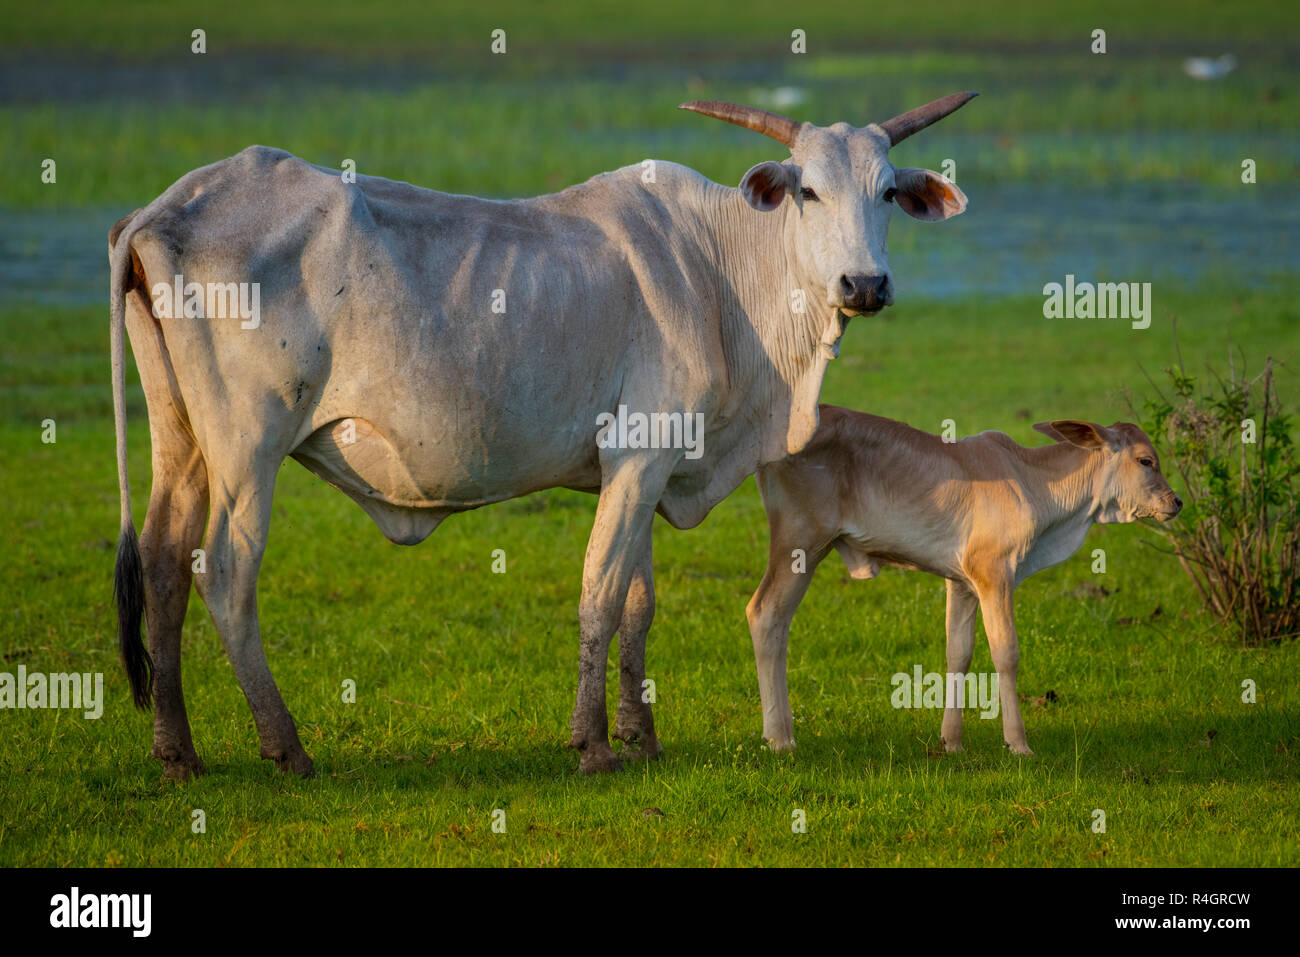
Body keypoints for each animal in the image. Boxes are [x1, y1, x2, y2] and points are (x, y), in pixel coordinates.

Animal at [109, 93, 977, 778]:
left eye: (888, 191)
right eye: (809, 191)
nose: (864, 284)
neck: (720, 269)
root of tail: (169, 204)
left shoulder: (642, 462)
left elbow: (638, 602)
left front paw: (642, 736)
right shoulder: (642, 451)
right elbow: (600, 593)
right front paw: (593, 744)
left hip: (183, 445)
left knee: (163, 561)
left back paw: (177, 752)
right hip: (249, 444)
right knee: (225, 572)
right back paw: (286, 746)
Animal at [746, 408, 1183, 756]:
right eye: (1147, 461)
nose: (1176, 502)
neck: (1034, 481)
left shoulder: (962, 583)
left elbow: (959, 652)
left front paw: (952, 741)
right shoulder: (994, 574)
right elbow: (1006, 652)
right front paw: (1018, 743)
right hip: (801, 543)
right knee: (765, 614)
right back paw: (780, 737)